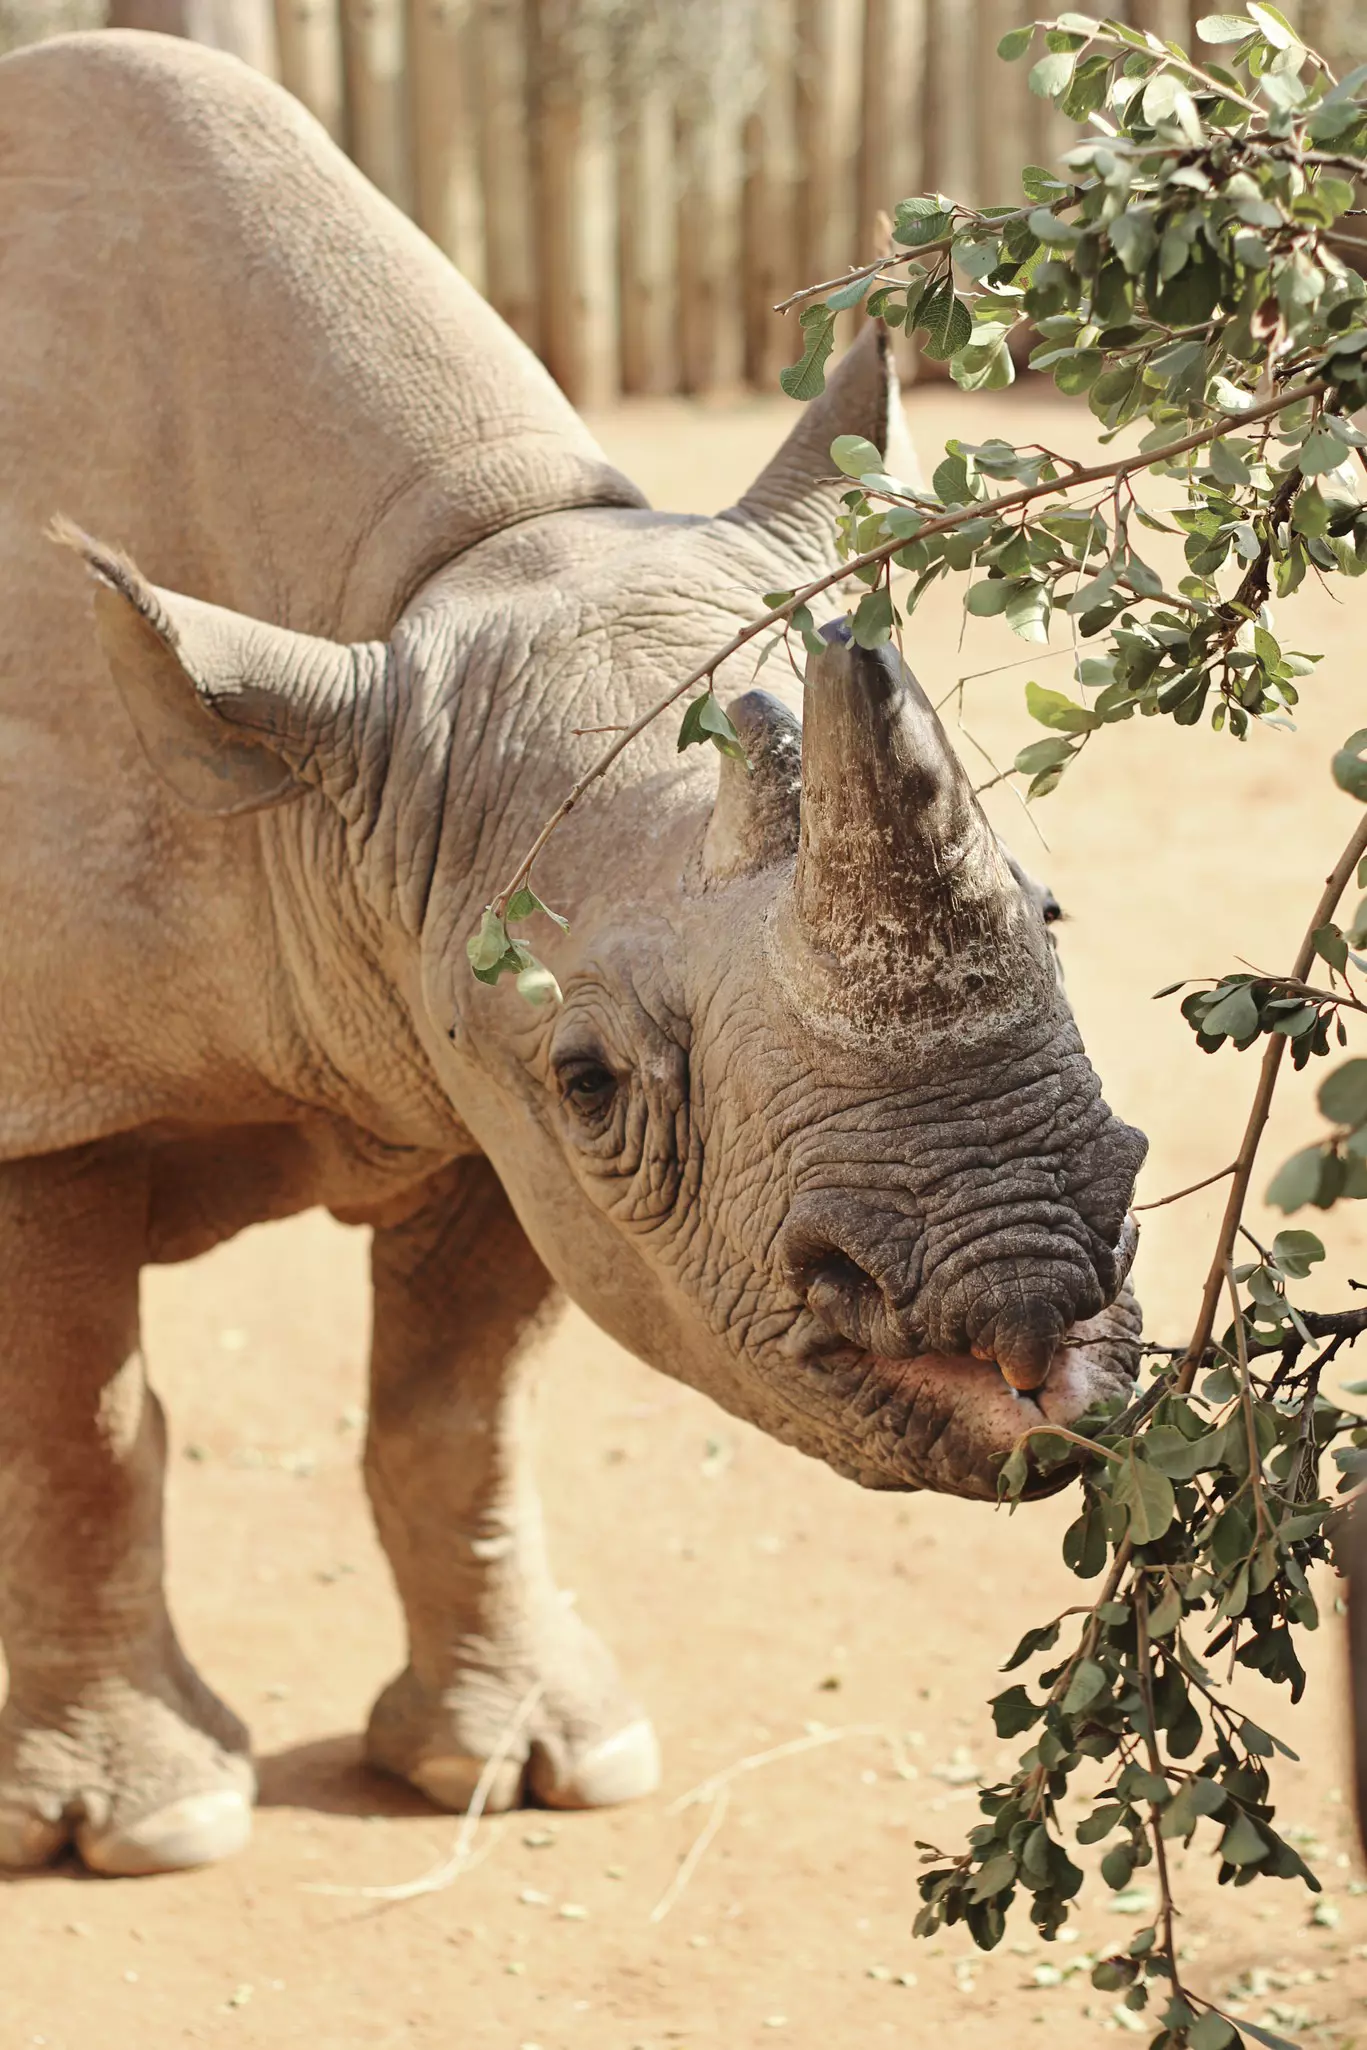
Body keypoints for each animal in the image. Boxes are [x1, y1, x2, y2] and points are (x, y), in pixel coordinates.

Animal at [0, 29, 1146, 1877]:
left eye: (1046, 913)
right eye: (594, 1075)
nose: (1023, 1284)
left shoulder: (463, 1040)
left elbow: (459, 1412)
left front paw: (531, 1760)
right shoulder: (61, 1091)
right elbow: (80, 1429)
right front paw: (152, 1828)